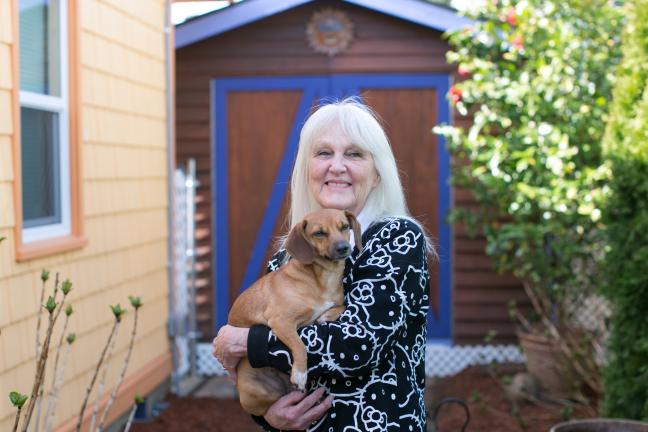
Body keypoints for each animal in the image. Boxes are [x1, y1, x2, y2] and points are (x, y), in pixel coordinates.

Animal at [228, 208, 362, 416]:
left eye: (344, 227)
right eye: (319, 233)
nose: (343, 248)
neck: (323, 279)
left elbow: (342, 306)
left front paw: (326, 315)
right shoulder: (281, 321)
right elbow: (299, 346)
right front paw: (299, 373)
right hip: (254, 391)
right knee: (270, 405)